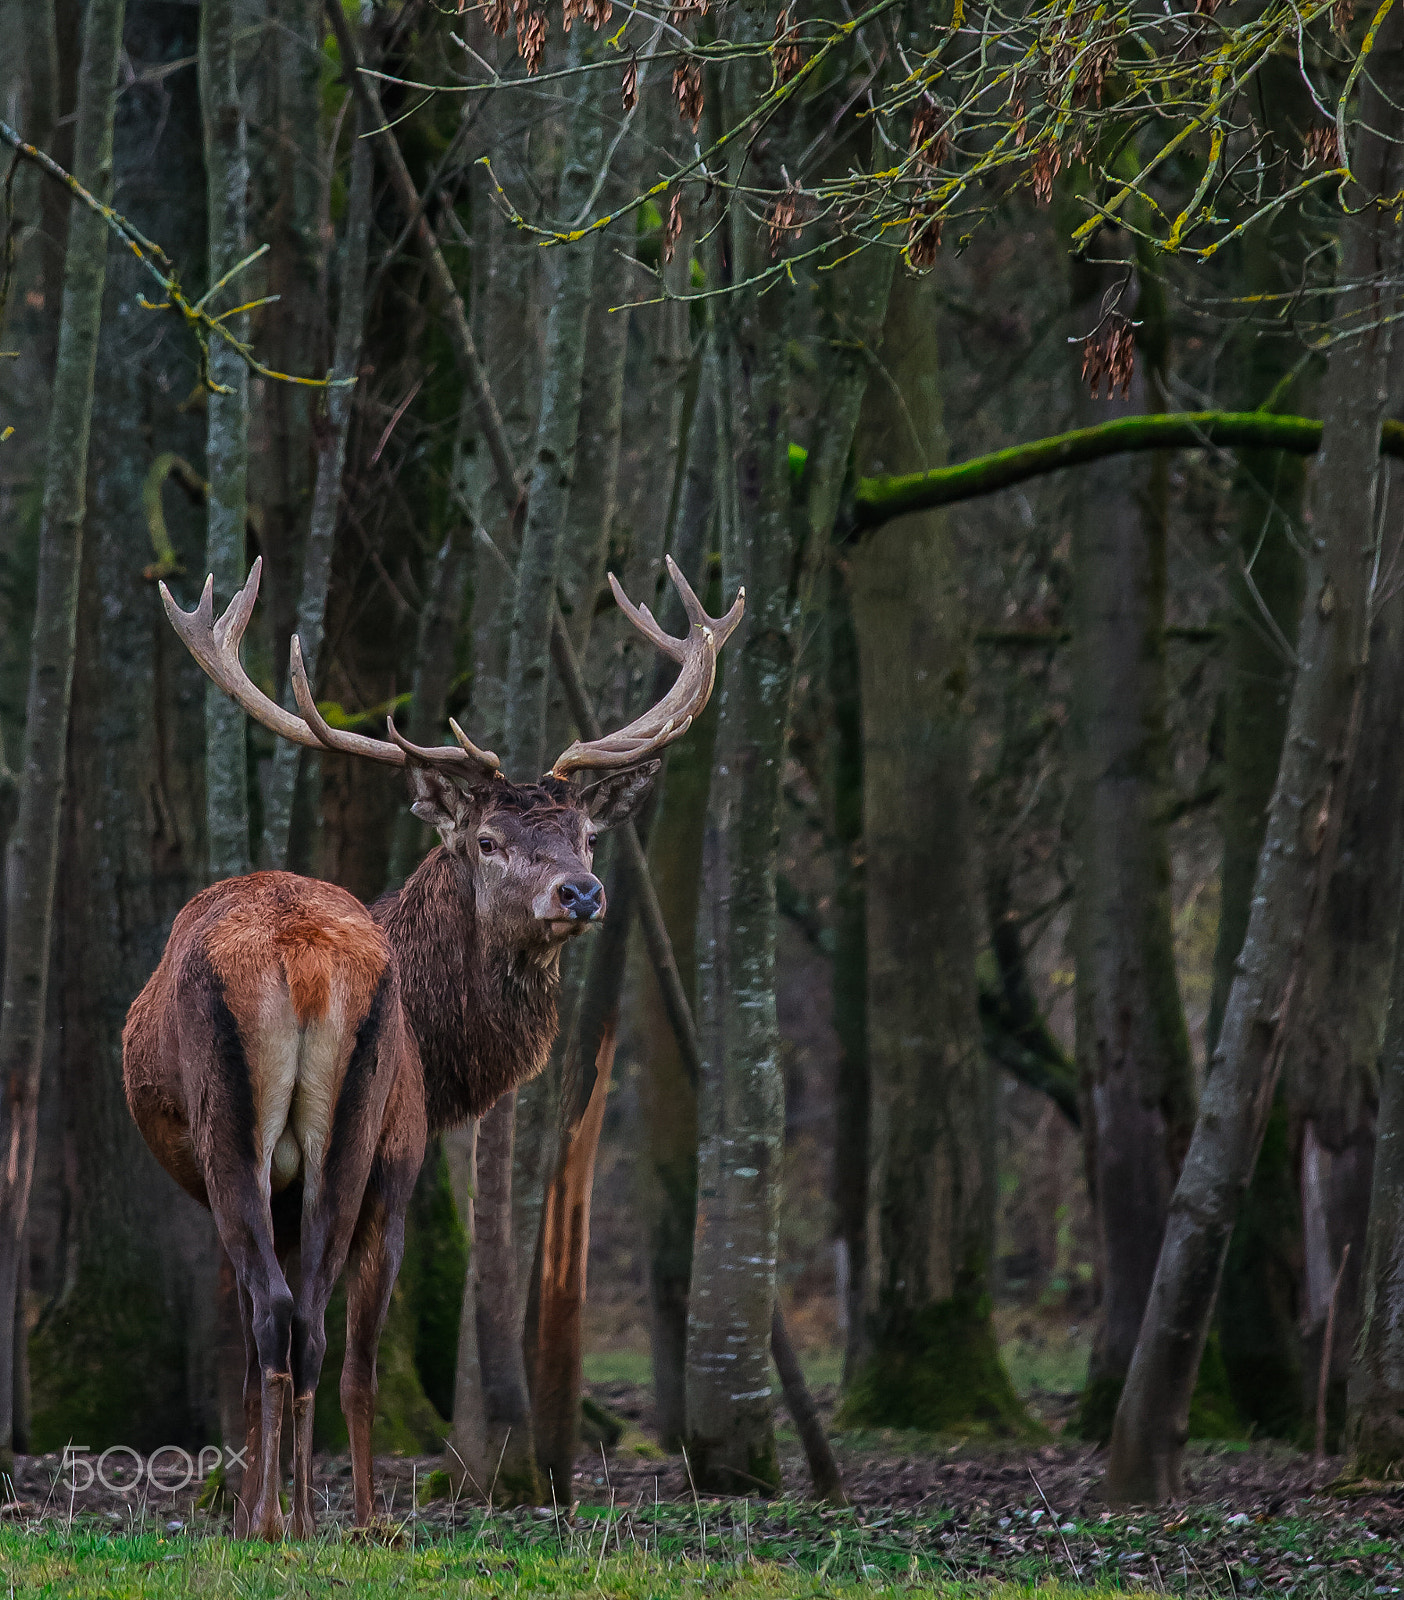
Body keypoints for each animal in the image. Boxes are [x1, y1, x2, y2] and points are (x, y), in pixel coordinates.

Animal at [121, 554, 742, 1540]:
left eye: (585, 834)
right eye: (488, 840)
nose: (582, 892)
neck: (447, 1067)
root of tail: (300, 960)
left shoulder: (370, 1162)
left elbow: (286, 1350)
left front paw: (284, 1508)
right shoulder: (399, 1154)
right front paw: (325, 1510)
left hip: (272, 1140)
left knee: (289, 1318)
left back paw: (289, 1521)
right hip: (318, 1142)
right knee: (306, 1320)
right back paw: (304, 1519)